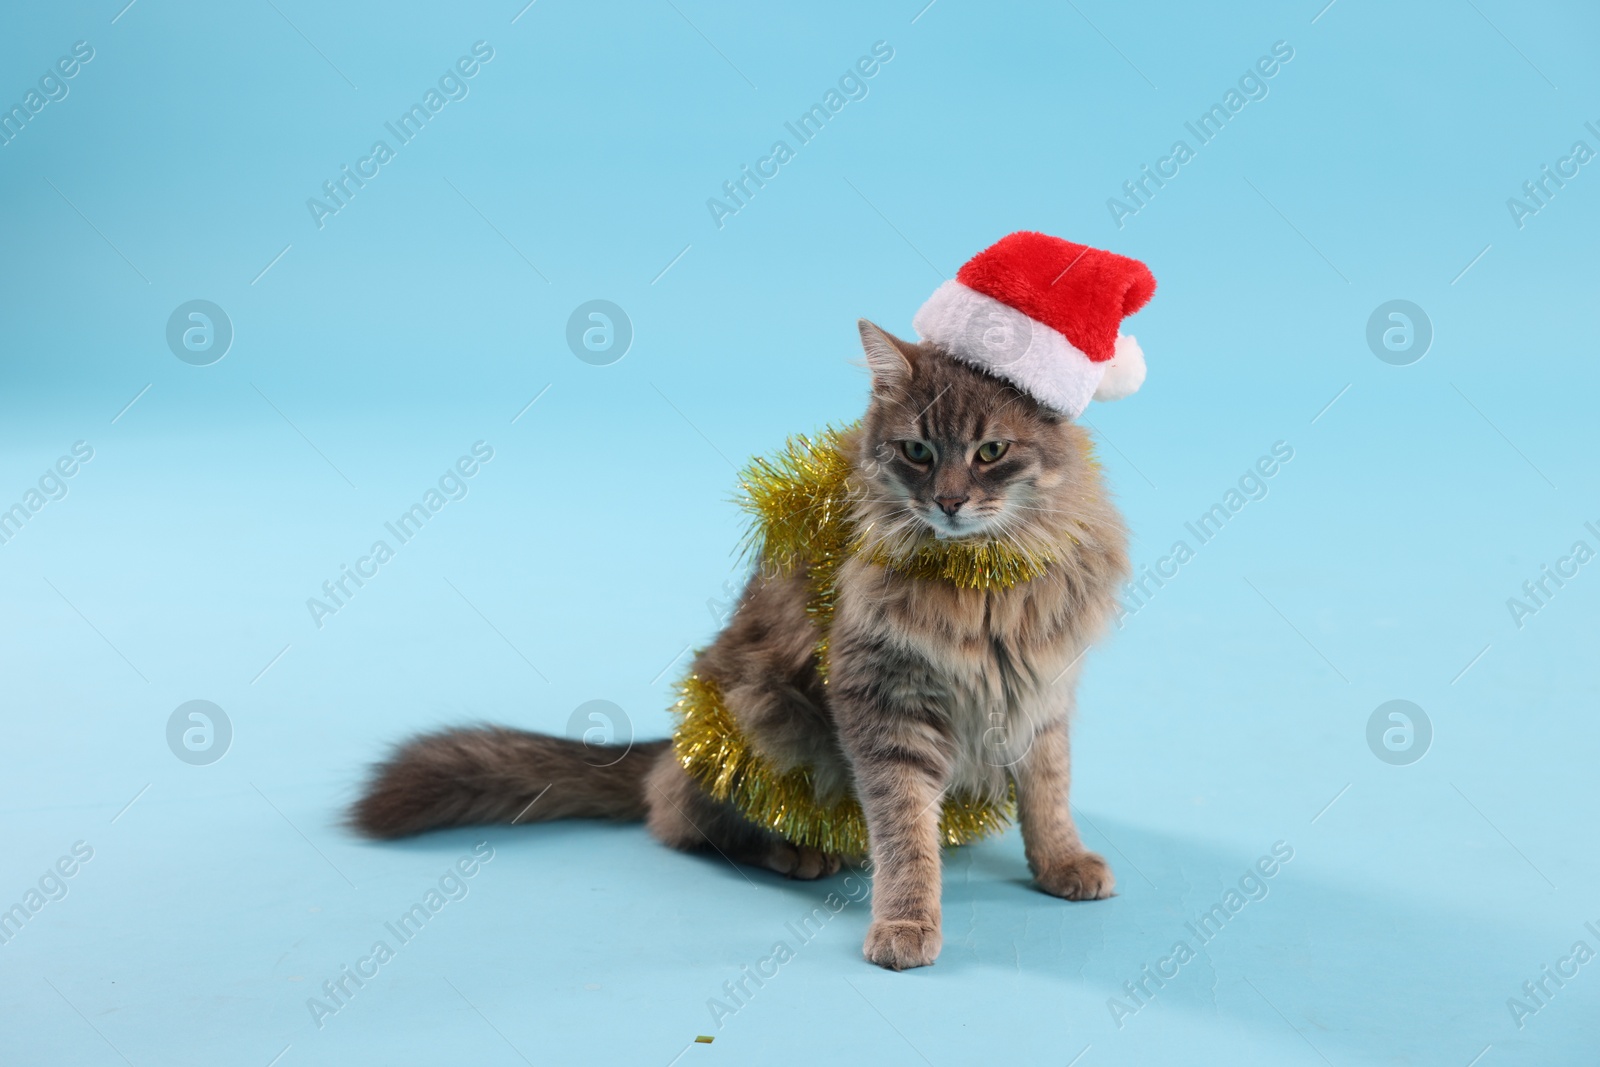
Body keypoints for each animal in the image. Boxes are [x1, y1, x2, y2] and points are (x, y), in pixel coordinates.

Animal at [353, 319, 1126, 966]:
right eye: (917, 451)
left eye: (991, 451)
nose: (949, 501)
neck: (985, 582)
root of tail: (672, 745)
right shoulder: (883, 703)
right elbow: (905, 830)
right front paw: (907, 922)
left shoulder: (1040, 691)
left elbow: (1047, 791)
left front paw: (1062, 862)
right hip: (759, 714)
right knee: (683, 820)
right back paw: (797, 852)